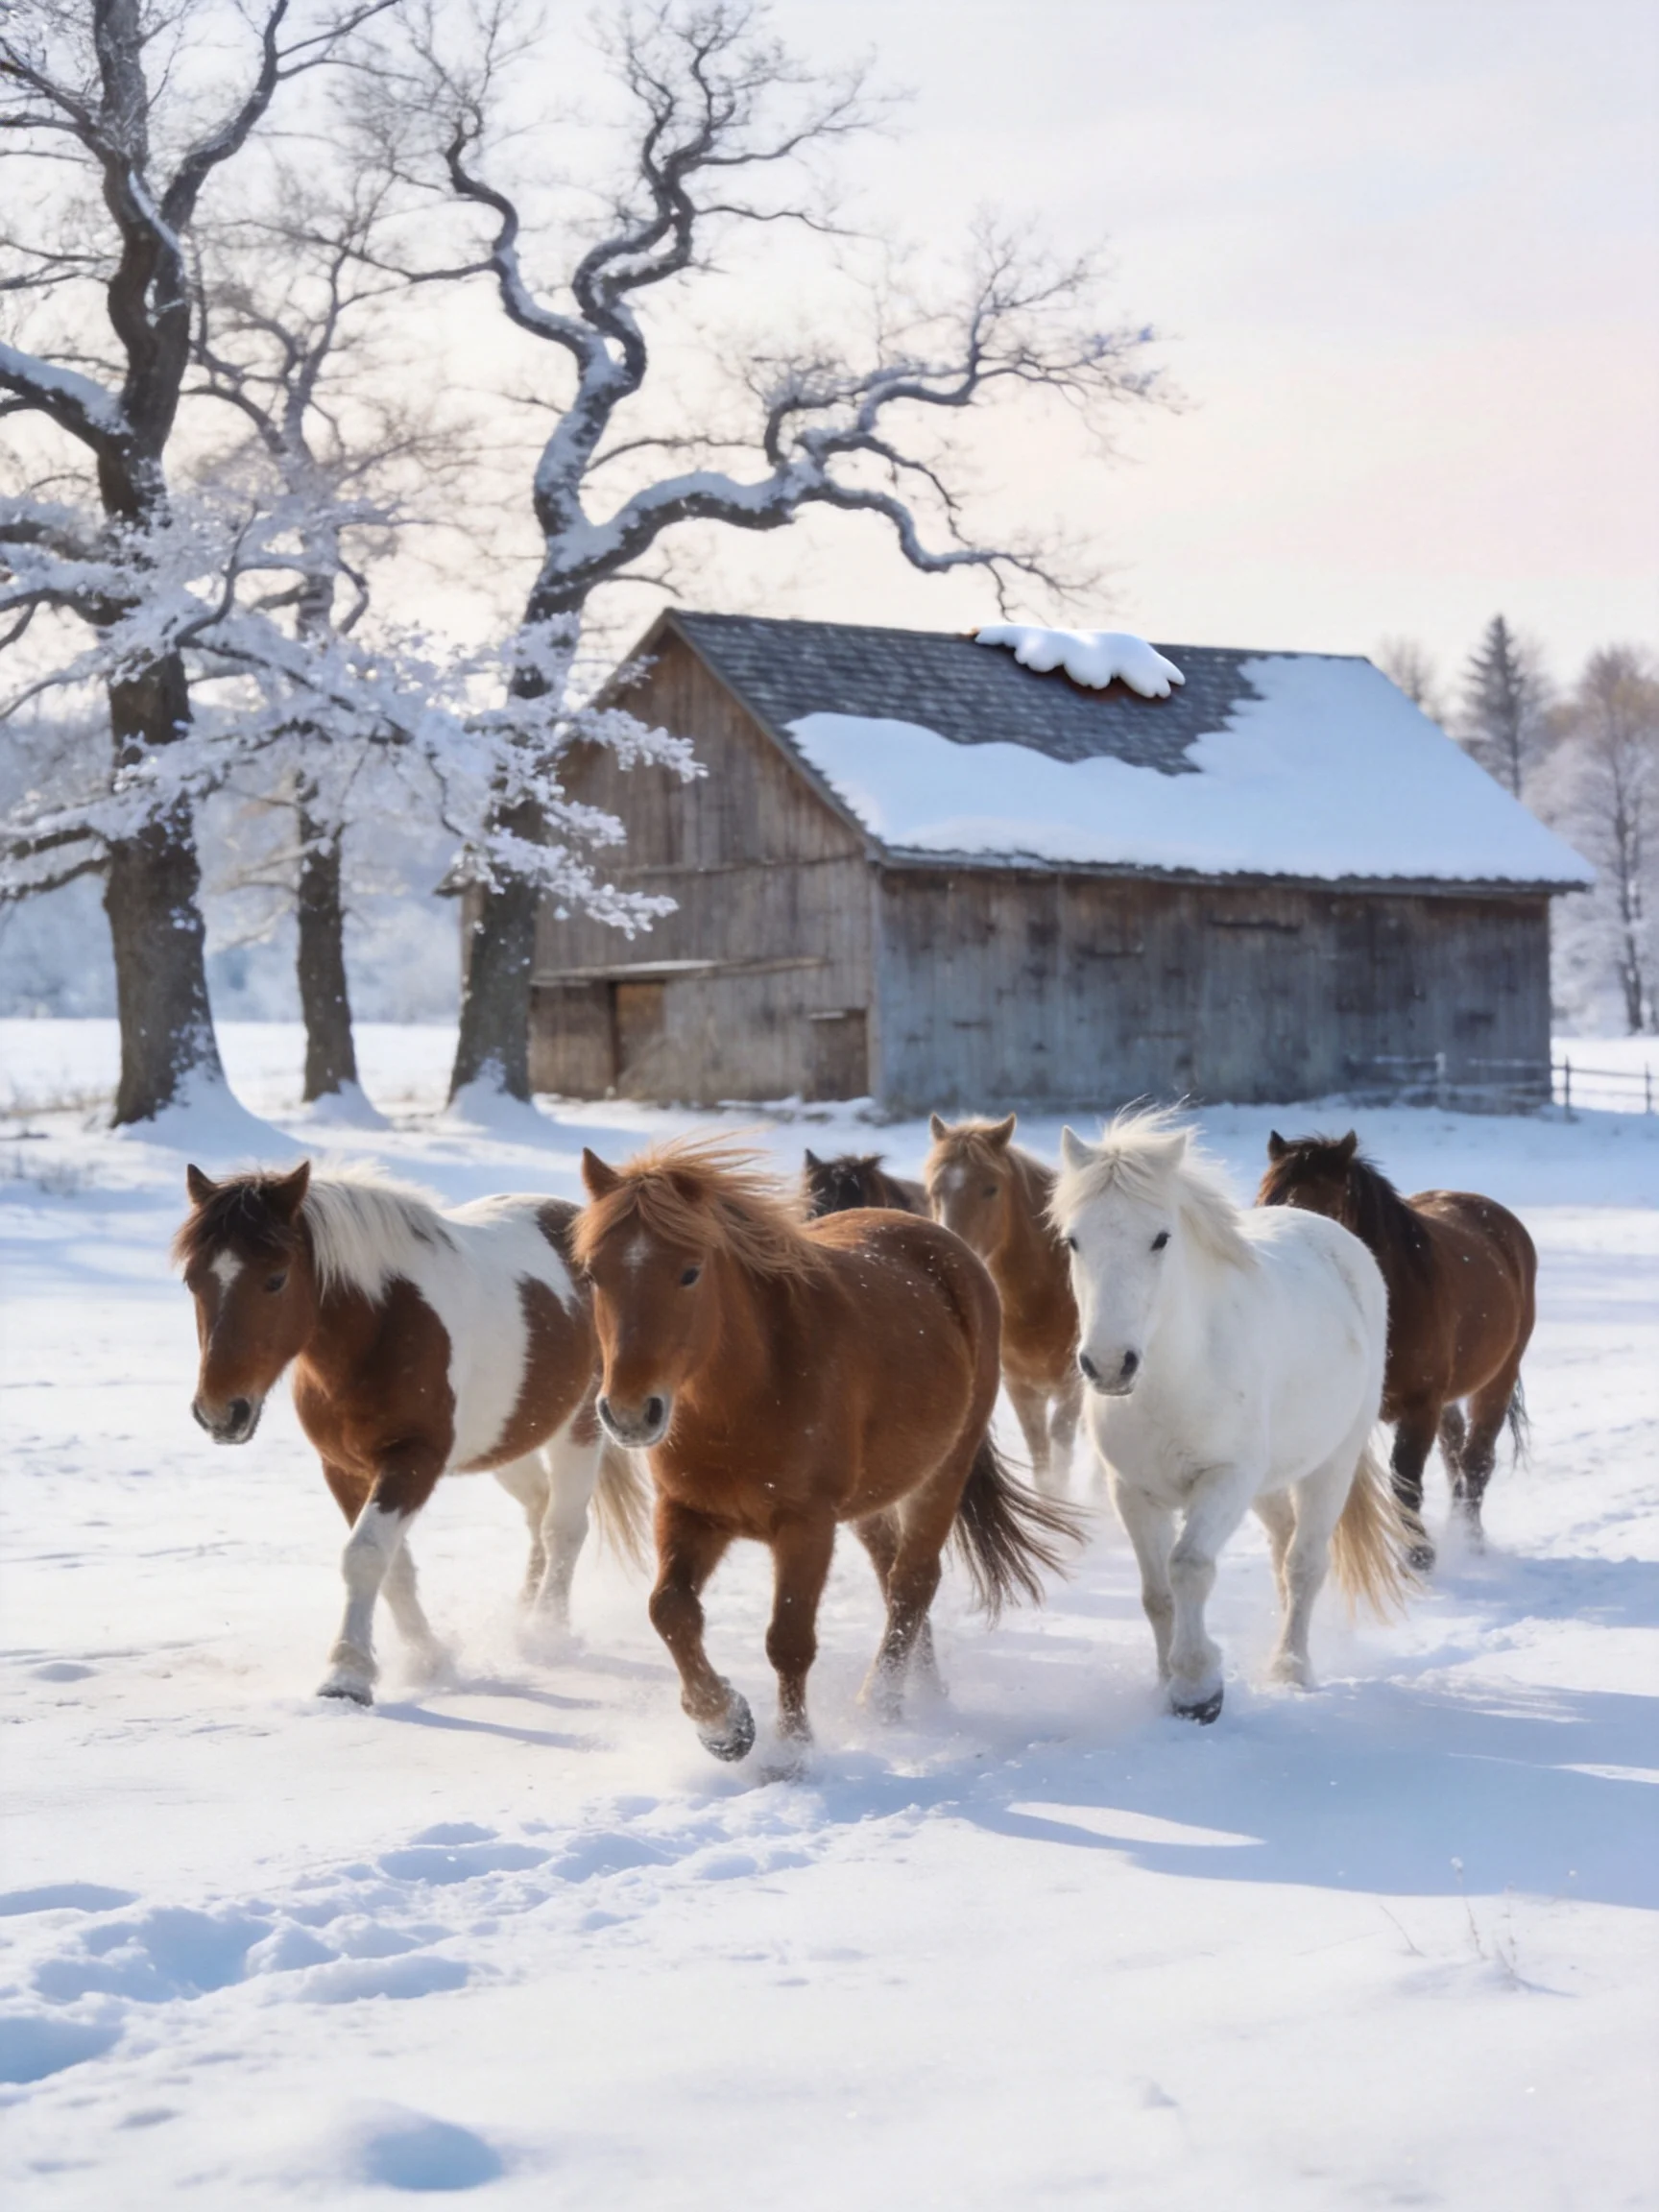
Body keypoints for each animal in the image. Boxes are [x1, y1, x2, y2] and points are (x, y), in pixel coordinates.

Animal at [174, 1160, 647, 1704]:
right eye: (192, 1280)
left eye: (275, 1279)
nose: (219, 1412)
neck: (381, 1325)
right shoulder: (344, 1469)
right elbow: (391, 1567)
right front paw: (429, 1659)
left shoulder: (413, 1459)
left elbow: (365, 1555)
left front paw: (347, 1676)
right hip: (507, 1441)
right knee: (538, 1510)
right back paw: (521, 1618)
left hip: (582, 1427)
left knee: (563, 1527)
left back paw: (546, 1633)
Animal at [923, 1113, 1083, 1493]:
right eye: (935, 1190)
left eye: (991, 1189)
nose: (955, 1255)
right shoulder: (1021, 1390)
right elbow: (1041, 1459)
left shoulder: (1073, 1387)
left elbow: (1061, 1458)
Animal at [1051, 1112, 1407, 1723]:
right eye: (1074, 1240)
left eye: (1161, 1238)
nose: (1110, 1364)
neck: (1174, 1379)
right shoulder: (1132, 1491)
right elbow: (1155, 1593)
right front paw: (1165, 1682)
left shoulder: (1224, 1479)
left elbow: (1189, 1566)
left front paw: (1198, 1687)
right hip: (1268, 1482)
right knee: (1282, 1549)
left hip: (1330, 1464)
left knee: (1304, 1562)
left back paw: (1292, 1668)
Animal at [1257, 1131, 1537, 1569]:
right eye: (1267, 1201)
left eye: (1327, 1208)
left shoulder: (1420, 1405)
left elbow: (1405, 1480)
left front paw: (1419, 1555)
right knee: (1454, 1452)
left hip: (1498, 1379)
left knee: (1476, 1460)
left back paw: (1471, 1541)